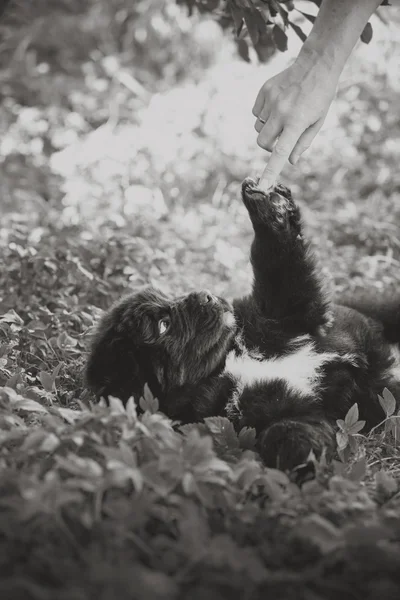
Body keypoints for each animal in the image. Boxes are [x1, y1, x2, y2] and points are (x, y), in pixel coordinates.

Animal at [85, 180, 400, 472]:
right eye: (164, 326)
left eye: (170, 298)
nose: (206, 295)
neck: (226, 361)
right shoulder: (278, 412)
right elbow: (288, 430)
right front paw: (304, 465)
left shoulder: (279, 313)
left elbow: (279, 267)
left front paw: (271, 210)